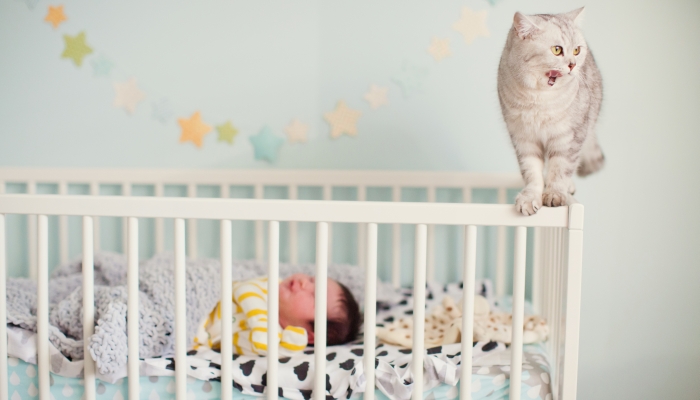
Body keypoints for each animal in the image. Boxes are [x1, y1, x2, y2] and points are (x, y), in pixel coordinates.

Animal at [498, 7, 600, 216]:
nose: (572, 64)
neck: (539, 100)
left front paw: (554, 194)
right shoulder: (523, 138)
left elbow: (561, 168)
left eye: (577, 50)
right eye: (557, 50)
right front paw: (530, 198)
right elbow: (532, 172)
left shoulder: (570, 136)